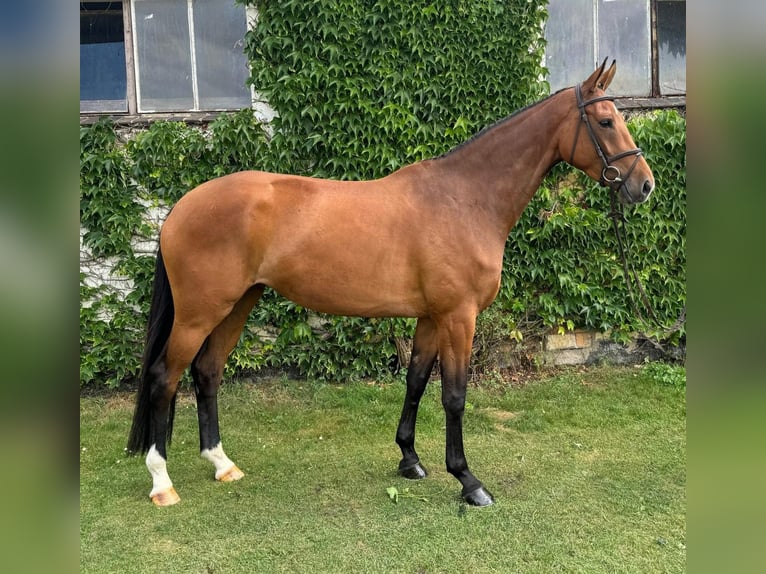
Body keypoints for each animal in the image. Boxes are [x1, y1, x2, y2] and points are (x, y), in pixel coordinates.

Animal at [126, 59, 656, 508]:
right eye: (605, 122)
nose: (644, 184)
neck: (465, 199)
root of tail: (180, 208)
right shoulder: (458, 317)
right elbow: (454, 395)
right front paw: (468, 481)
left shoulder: (430, 317)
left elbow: (416, 380)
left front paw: (410, 460)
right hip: (199, 313)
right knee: (165, 377)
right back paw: (162, 483)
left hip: (237, 304)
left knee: (207, 373)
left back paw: (222, 464)